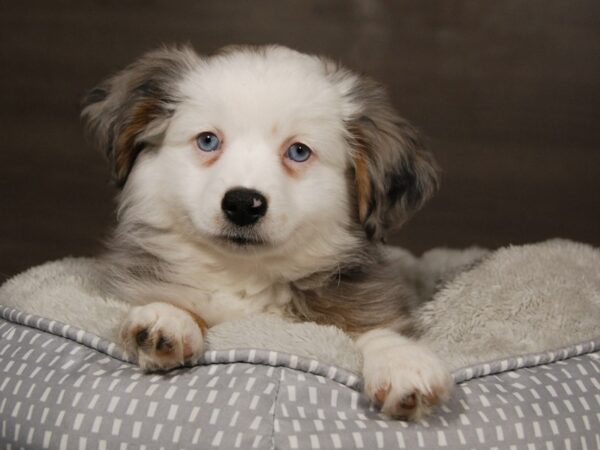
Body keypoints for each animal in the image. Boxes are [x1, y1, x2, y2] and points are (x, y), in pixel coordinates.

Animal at [82, 44, 452, 420]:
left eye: (298, 151)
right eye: (208, 141)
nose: (243, 203)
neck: (246, 274)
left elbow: (374, 331)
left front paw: (401, 363)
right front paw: (169, 318)